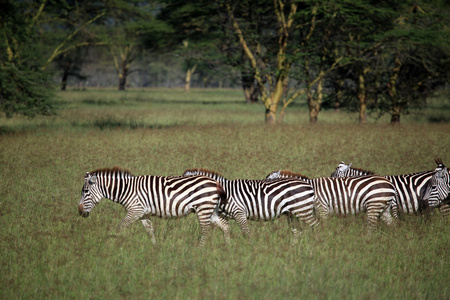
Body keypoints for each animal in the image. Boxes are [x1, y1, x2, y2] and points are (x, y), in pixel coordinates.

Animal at [77, 166, 229, 246]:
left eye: (85, 191)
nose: (80, 211)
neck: (126, 190)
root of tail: (216, 183)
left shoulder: (135, 210)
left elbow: (120, 226)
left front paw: (114, 244)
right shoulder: (144, 213)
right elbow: (150, 230)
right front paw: (154, 249)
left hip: (203, 208)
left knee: (206, 229)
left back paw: (199, 249)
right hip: (211, 209)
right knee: (224, 225)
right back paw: (227, 248)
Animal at [181, 169, 318, 241]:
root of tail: (308, 185)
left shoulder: (239, 212)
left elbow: (246, 233)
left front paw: (249, 248)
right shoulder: (223, 216)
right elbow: (225, 231)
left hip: (303, 210)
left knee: (316, 226)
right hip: (293, 214)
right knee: (297, 232)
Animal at [266, 170, 396, 231]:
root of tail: (390, 183)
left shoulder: (323, 208)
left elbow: (322, 225)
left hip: (374, 204)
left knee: (371, 225)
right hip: (383, 207)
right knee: (391, 223)